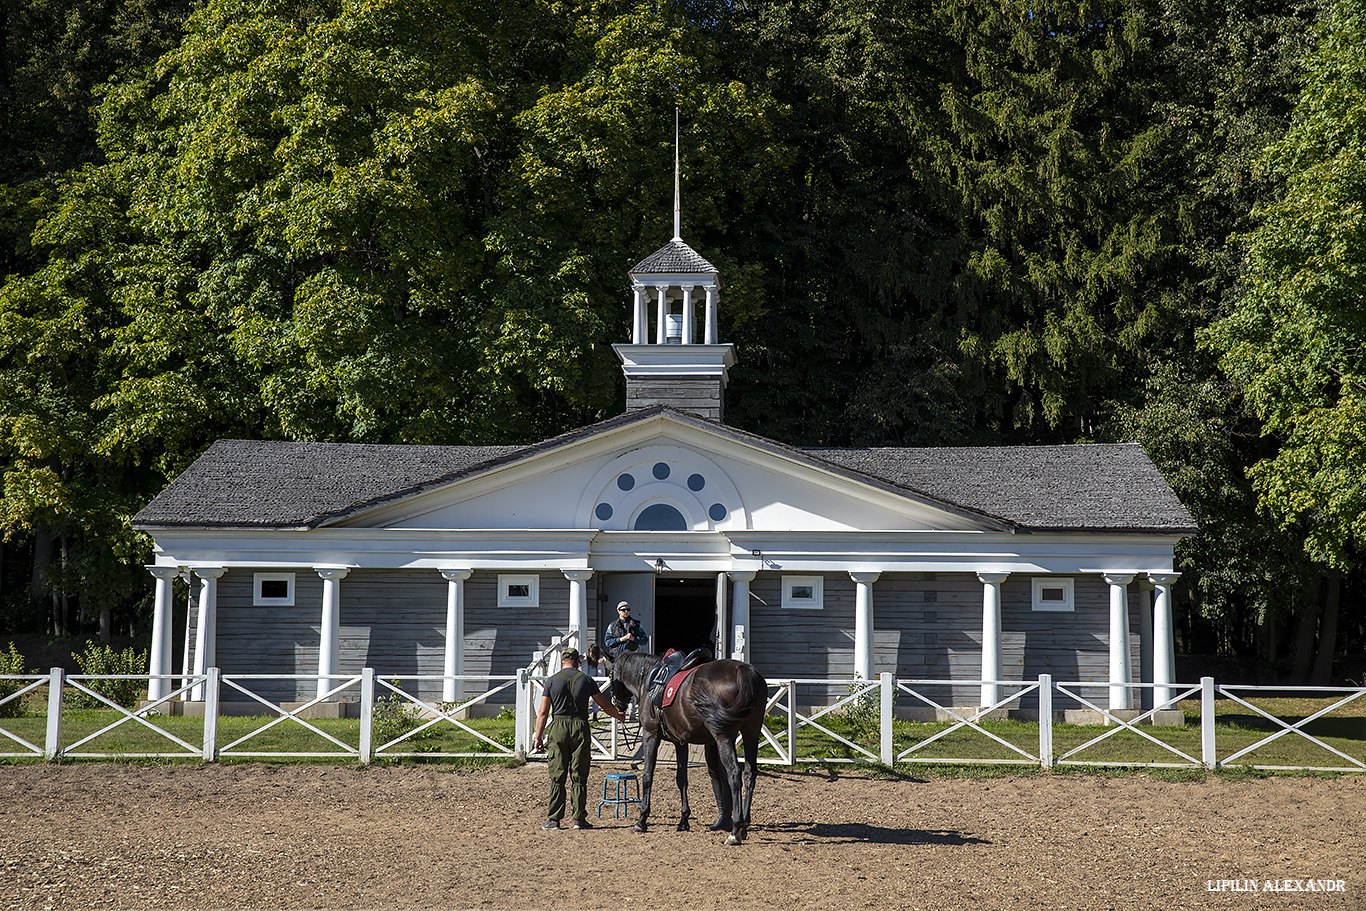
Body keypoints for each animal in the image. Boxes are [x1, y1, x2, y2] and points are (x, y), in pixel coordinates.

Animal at [611, 652, 770, 846]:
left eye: (610, 674)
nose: (617, 705)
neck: (649, 678)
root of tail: (743, 670)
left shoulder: (651, 735)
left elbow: (648, 776)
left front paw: (642, 820)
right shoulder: (680, 742)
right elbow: (682, 779)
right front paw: (684, 820)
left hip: (724, 737)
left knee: (733, 773)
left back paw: (735, 831)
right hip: (751, 733)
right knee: (749, 773)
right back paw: (744, 825)